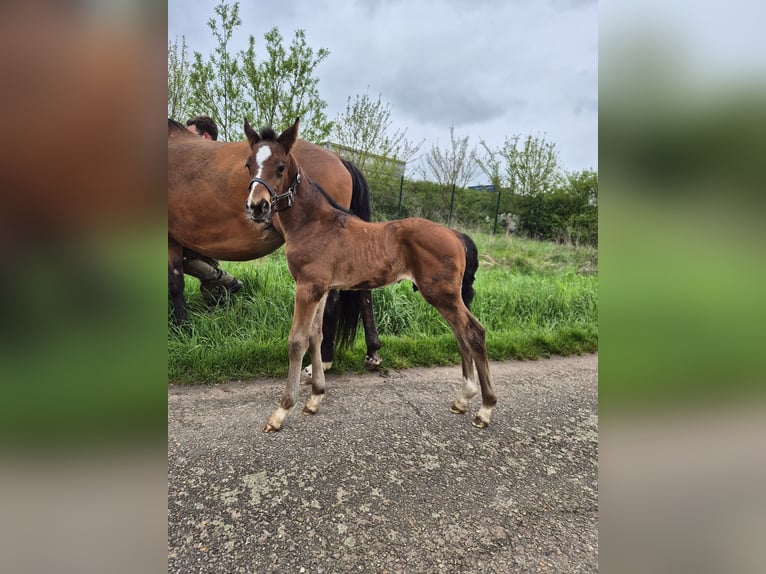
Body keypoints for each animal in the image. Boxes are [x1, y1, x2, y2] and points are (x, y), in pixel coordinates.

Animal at [168, 118, 381, 372]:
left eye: (281, 167)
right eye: (247, 165)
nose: (256, 207)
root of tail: (339, 158)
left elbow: (175, 285)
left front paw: (182, 329)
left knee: (333, 299)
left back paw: (326, 357)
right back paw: (372, 350)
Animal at [243, 118, 497, 432]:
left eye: (280, 166)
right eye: (248, 164)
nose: (257, 206)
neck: (314, 224)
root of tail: (456, 235)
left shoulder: (307, 287)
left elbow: (297, 341)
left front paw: (281, 411)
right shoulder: (321, 288)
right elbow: (316, 335)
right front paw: (315, 398)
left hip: (443, 294)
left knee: (474, 332)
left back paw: (484, 409)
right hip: (444, 296)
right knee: (461, 334)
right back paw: (463, 399)